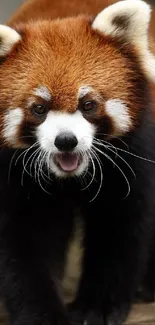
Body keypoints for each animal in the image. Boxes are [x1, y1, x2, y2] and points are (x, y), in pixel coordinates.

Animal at [0, 0, 154, 324]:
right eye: (39, 108)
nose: (66, 141)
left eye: (88, 105)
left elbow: (120, 227)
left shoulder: (134, 150)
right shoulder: (13, 174)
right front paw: (41, 314)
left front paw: (97, 306)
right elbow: (25, 240)